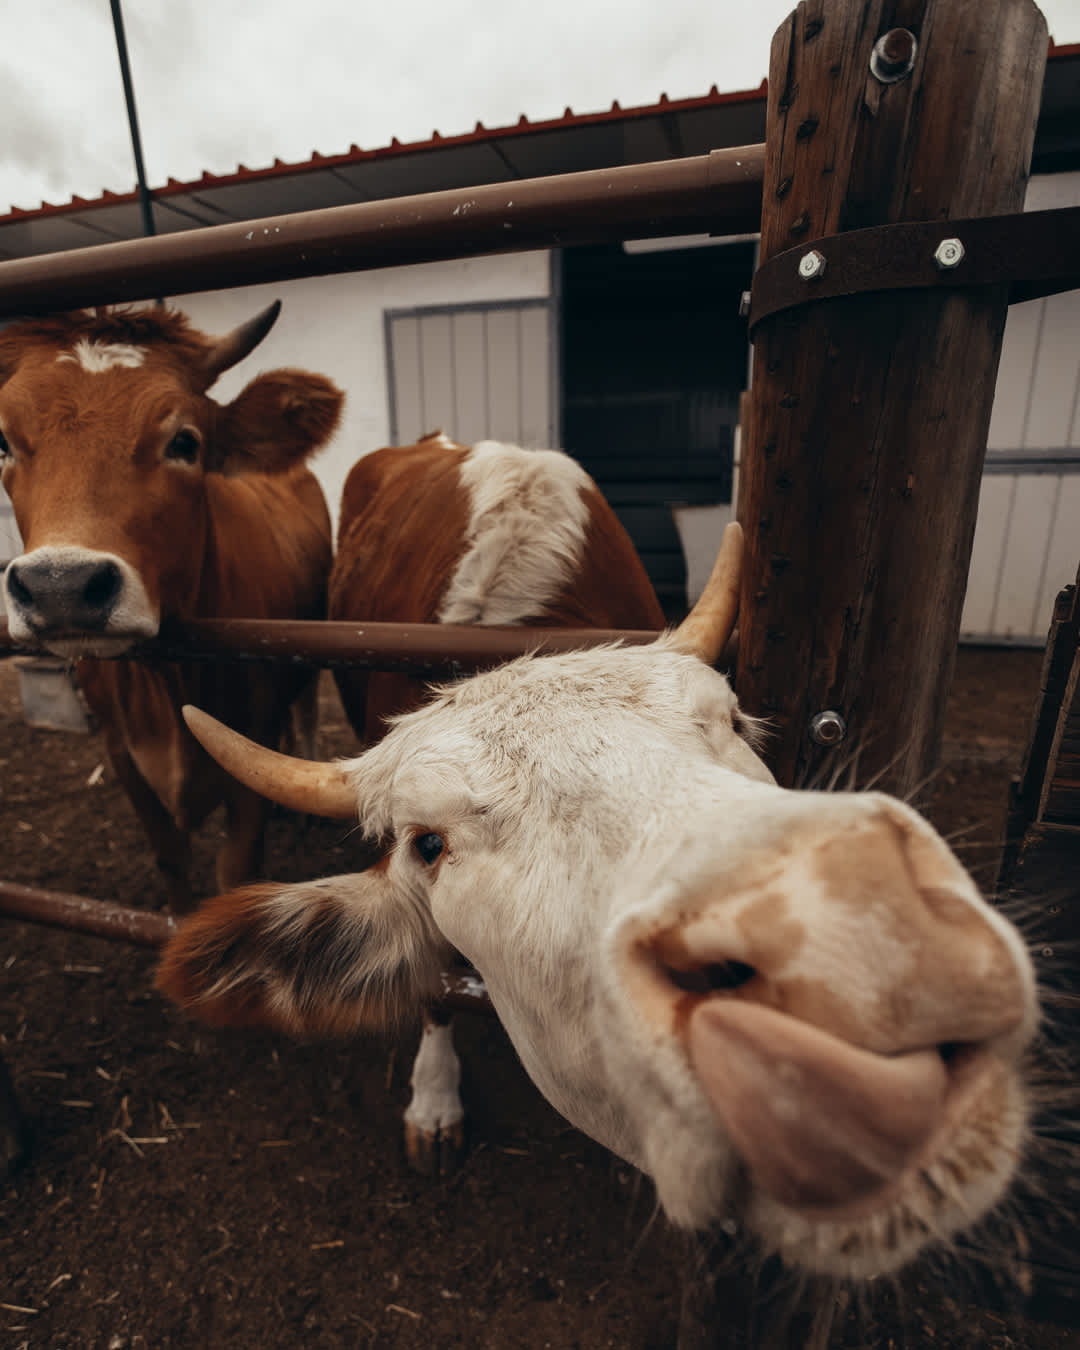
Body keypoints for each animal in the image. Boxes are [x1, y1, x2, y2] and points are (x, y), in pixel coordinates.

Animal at [0, 301, 341, 901]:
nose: (60, 585)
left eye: (184, 442)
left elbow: (236, 869)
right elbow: (172, 861)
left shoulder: (248, 744)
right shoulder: (122, 755)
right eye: (2, 444)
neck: (164, 680)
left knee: (301, 714)